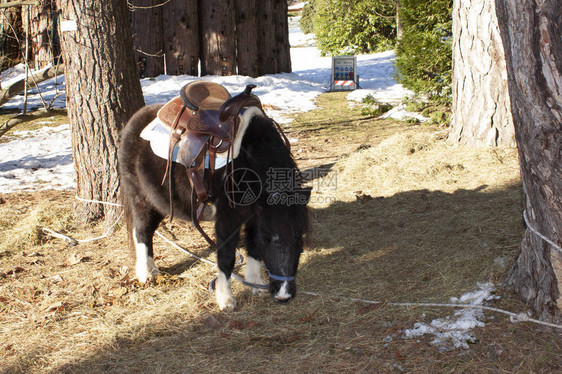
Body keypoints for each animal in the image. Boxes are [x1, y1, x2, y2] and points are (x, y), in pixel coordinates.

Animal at [119, 102, 310, 310]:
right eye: (269, 239)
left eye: (299, 239)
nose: (284, 295)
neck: (248, 163)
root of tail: (133, 122)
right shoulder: (228, 218)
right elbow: (226, 257)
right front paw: (226, 299)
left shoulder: (255, 217)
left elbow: (253, 247)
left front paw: (256, 283)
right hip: (141, 200)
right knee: (142, 232)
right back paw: (146, 274)